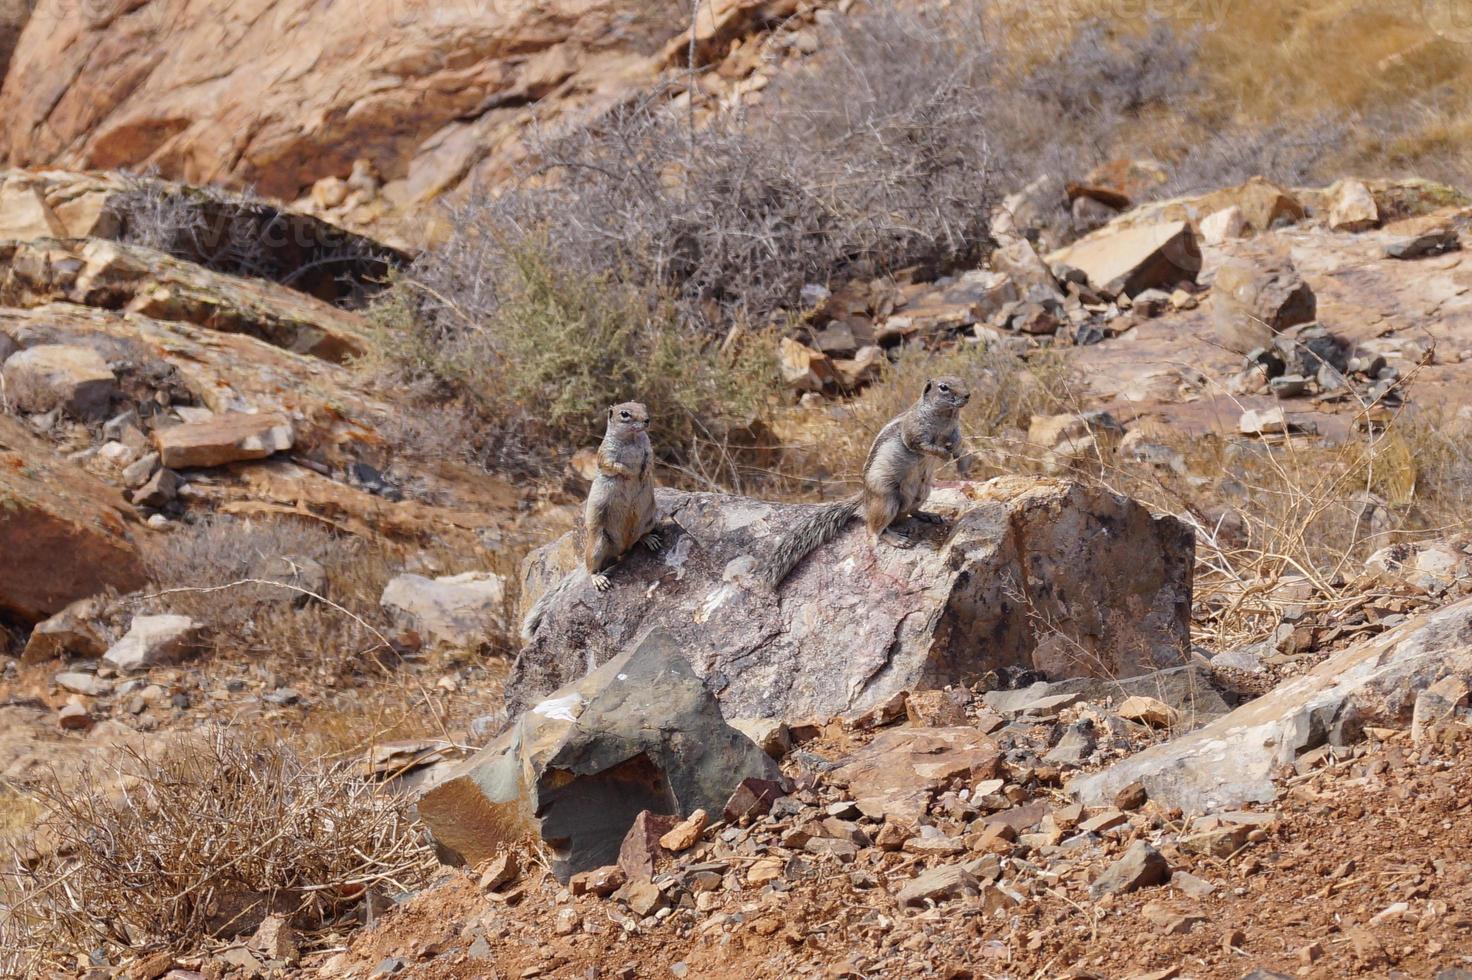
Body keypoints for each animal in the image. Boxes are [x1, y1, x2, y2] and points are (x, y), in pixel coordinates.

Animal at [515, 400, 659, 638]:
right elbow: (614, 465)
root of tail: (621, 549)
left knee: (639, 537)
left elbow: (650, 458)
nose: (647, 421)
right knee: (593, 566)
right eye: (625, 414)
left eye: (644, 407)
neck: (631, 438)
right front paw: (629, 473)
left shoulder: (647, 446)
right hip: (598, 543)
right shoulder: (606, 454)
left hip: (649, 518)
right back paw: (598, 578)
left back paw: (648, 539)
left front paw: (645, 472)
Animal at [753, 375, 971, 588]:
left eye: (962, 381)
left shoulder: (955, 432)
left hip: (923, 491)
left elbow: (959, 443)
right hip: (886, 500)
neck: (945, 418)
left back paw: (928, 515)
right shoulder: (913, 431)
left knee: (910, 511)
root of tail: (865, 497)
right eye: (943, 387)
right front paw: (943, 453)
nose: (968, 395)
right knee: (872, 530)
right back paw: (896, 539)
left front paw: (961, 458)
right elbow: (922, 445)